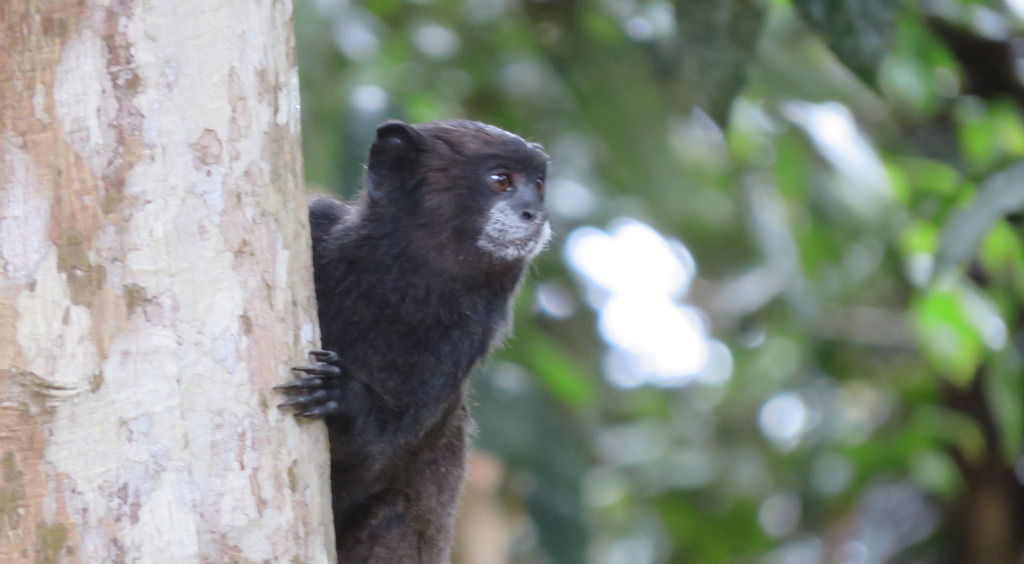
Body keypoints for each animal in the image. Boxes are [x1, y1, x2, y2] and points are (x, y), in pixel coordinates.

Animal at [272, 120, 544, 564]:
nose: (535, 213)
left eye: (538, 185)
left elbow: (371, 458)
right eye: (501, 181)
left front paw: (343, 397)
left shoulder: (462, 338)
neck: (396, 285)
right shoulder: (318, 224)